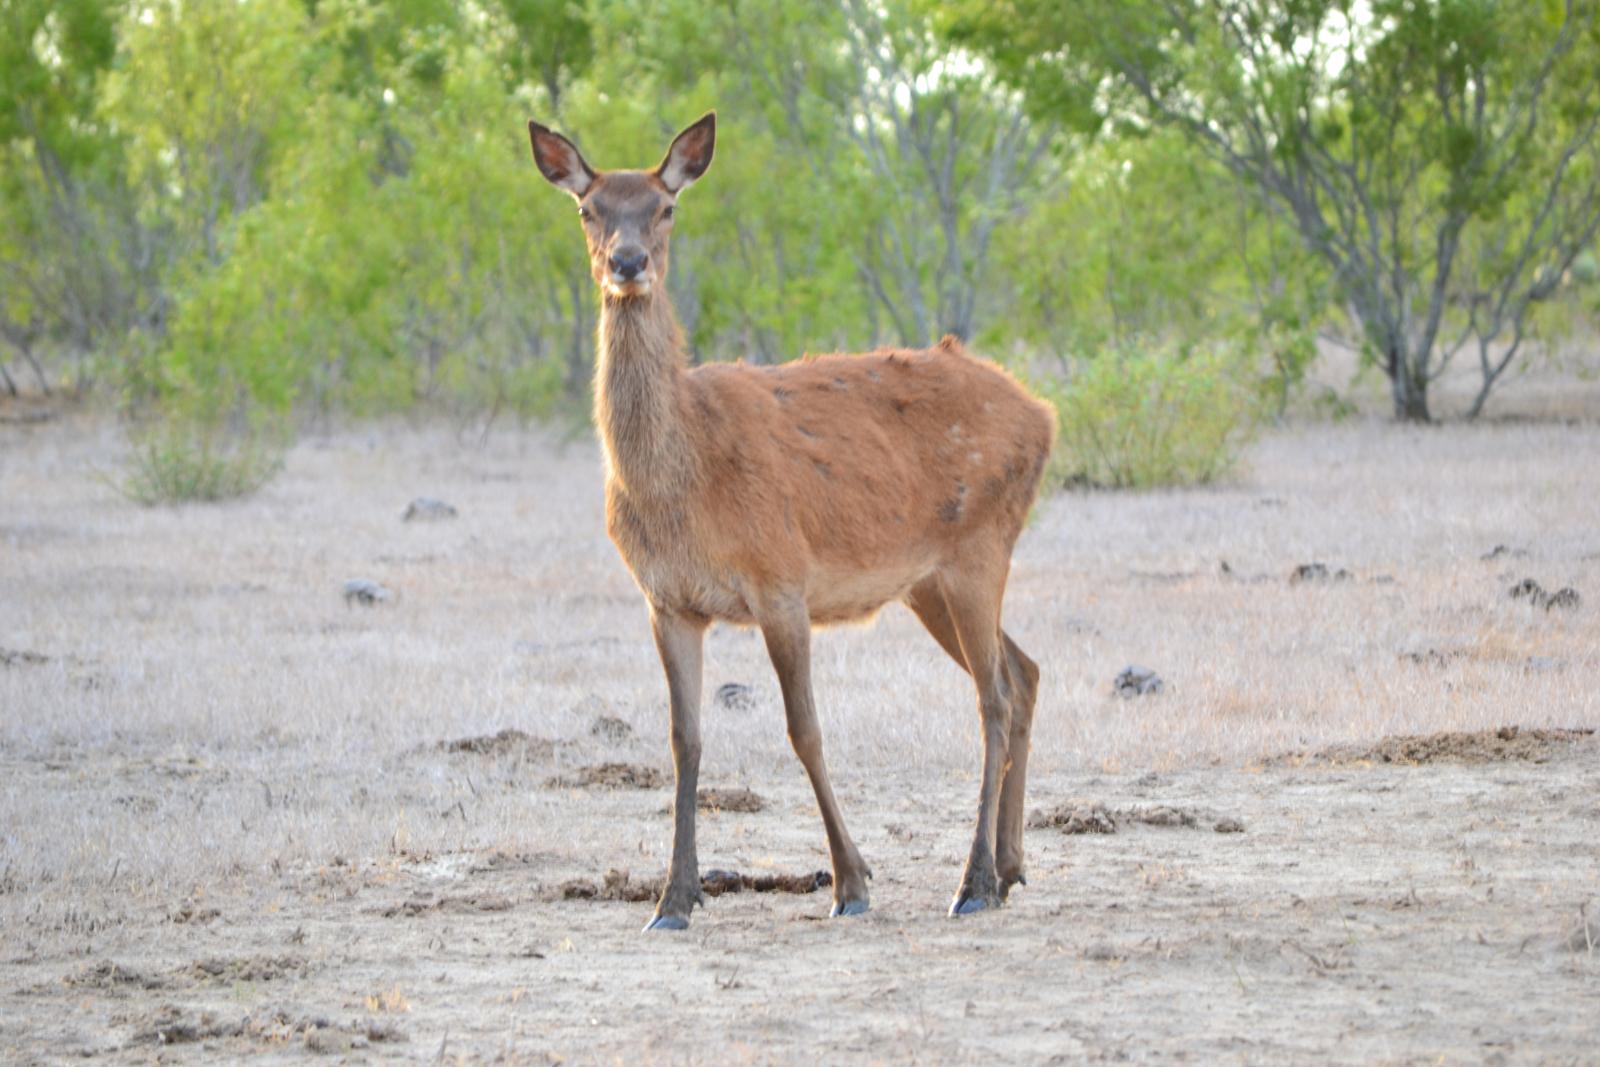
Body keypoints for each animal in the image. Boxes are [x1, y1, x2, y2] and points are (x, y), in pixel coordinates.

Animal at [528, 112, 1055, 930]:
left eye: (665, 206)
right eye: (589, 208)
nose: (627, 262)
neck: (683, 484)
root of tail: (1045, 416)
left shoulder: (780, 581)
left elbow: (803, 728)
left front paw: (852, 883)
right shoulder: (667, 600)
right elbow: (684, 739)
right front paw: (673, 898)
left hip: (981, 545)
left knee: (993, 695)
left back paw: (971, 884)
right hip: (927, 581)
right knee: (1023, 671)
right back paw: (1008, 866)